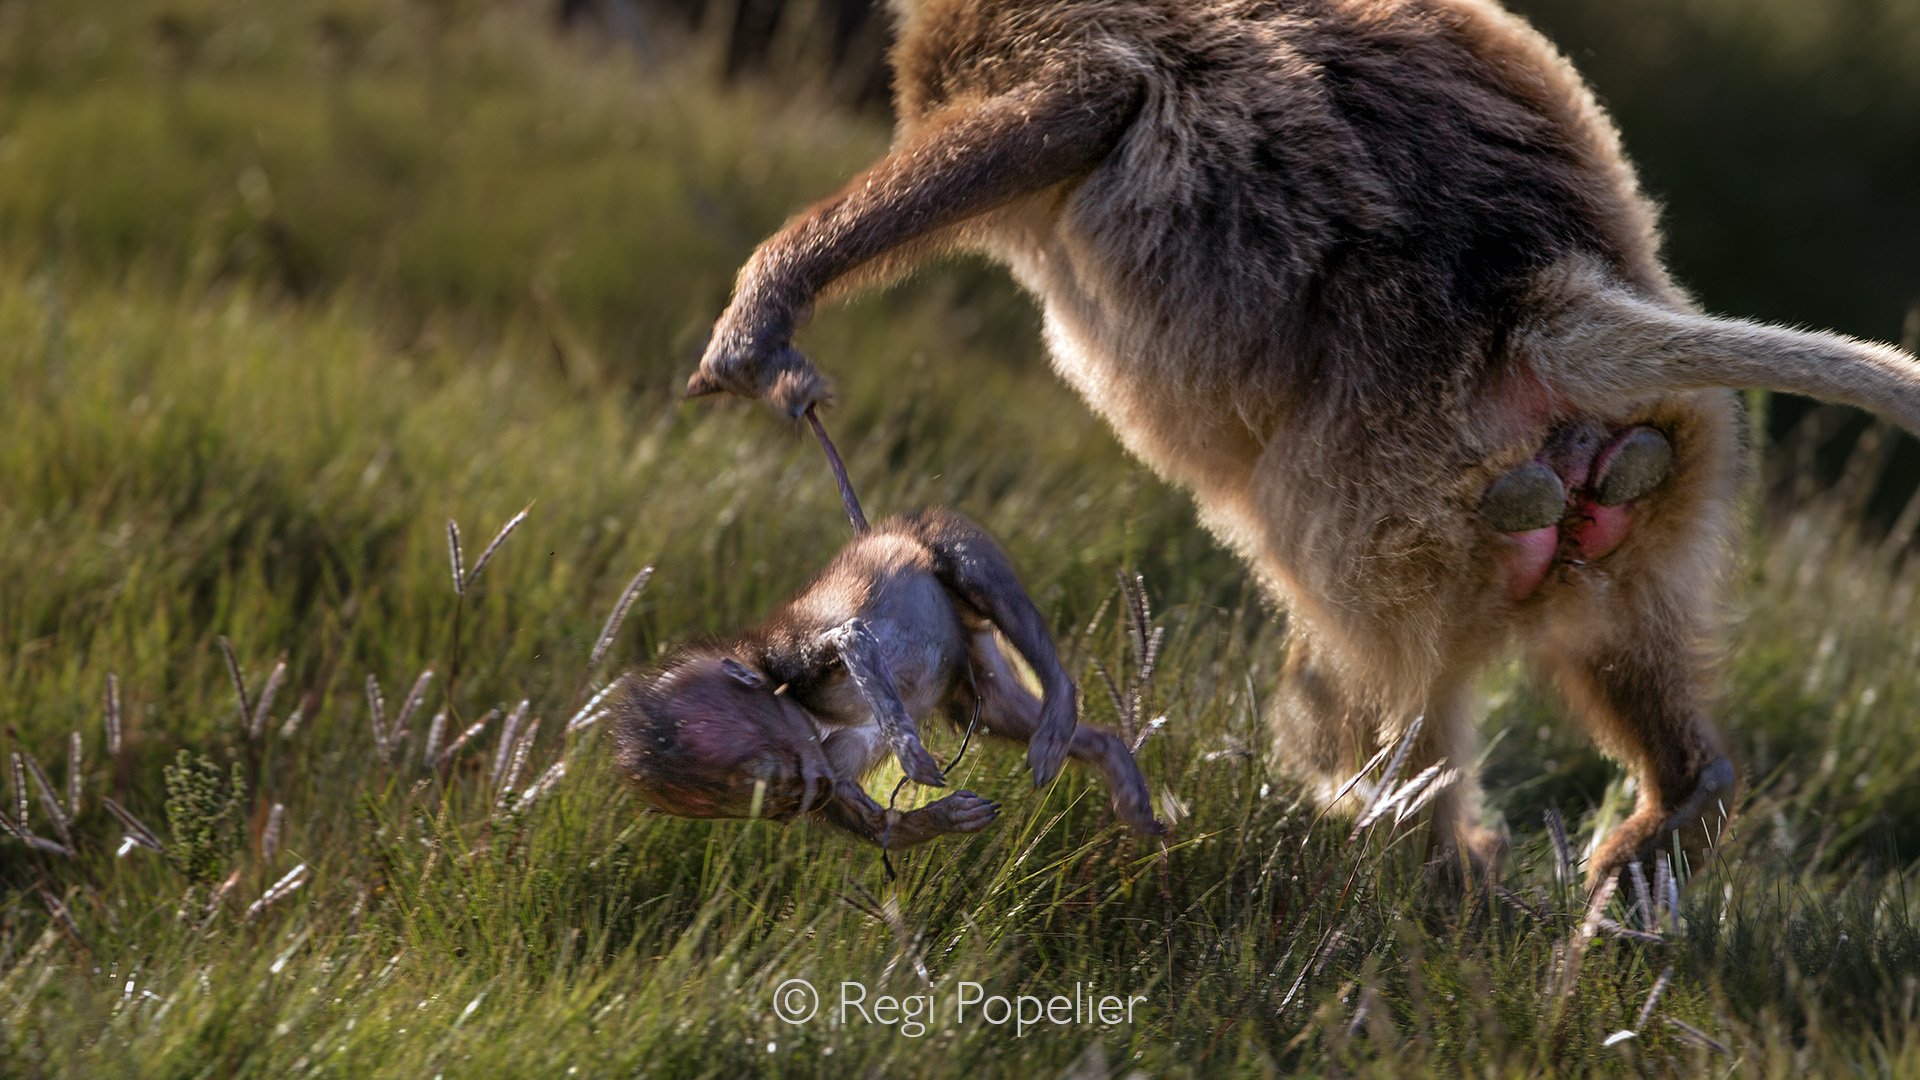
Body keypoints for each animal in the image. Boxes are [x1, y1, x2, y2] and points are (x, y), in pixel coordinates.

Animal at [613, 507, 1165, 848]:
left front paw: (910, 751)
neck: (814, 722)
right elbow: (885, 830)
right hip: (974, 674)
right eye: (777, 804)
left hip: (945, 545)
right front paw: (947, 815)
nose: (807, 792)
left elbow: (853, 638)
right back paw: (1119, 774)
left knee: (981, 579)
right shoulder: (831, 776)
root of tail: (880, 529)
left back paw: (1057, 718)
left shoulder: (792, 659)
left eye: (774, 775)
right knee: (1006, 714)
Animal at [683, 0, 1920, 887]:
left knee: (1368, 660)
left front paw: (765, 308)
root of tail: (1534, 300)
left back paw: (1414, 845)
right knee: (1615, 635)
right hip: (1654, 469)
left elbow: (1089, 98)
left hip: (1389, 498)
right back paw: (1673, 799)